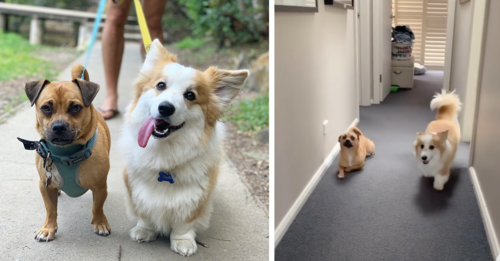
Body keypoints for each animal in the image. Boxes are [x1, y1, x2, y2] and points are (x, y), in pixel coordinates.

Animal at [21, 64, 110, 241]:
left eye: (76, 107)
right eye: (46, 108)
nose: (59, 127)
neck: (66, 153)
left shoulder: (100, 186)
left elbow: (97, 207)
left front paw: (100, 222)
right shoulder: (45, 186)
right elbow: (51, 210)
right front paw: (48, 228)